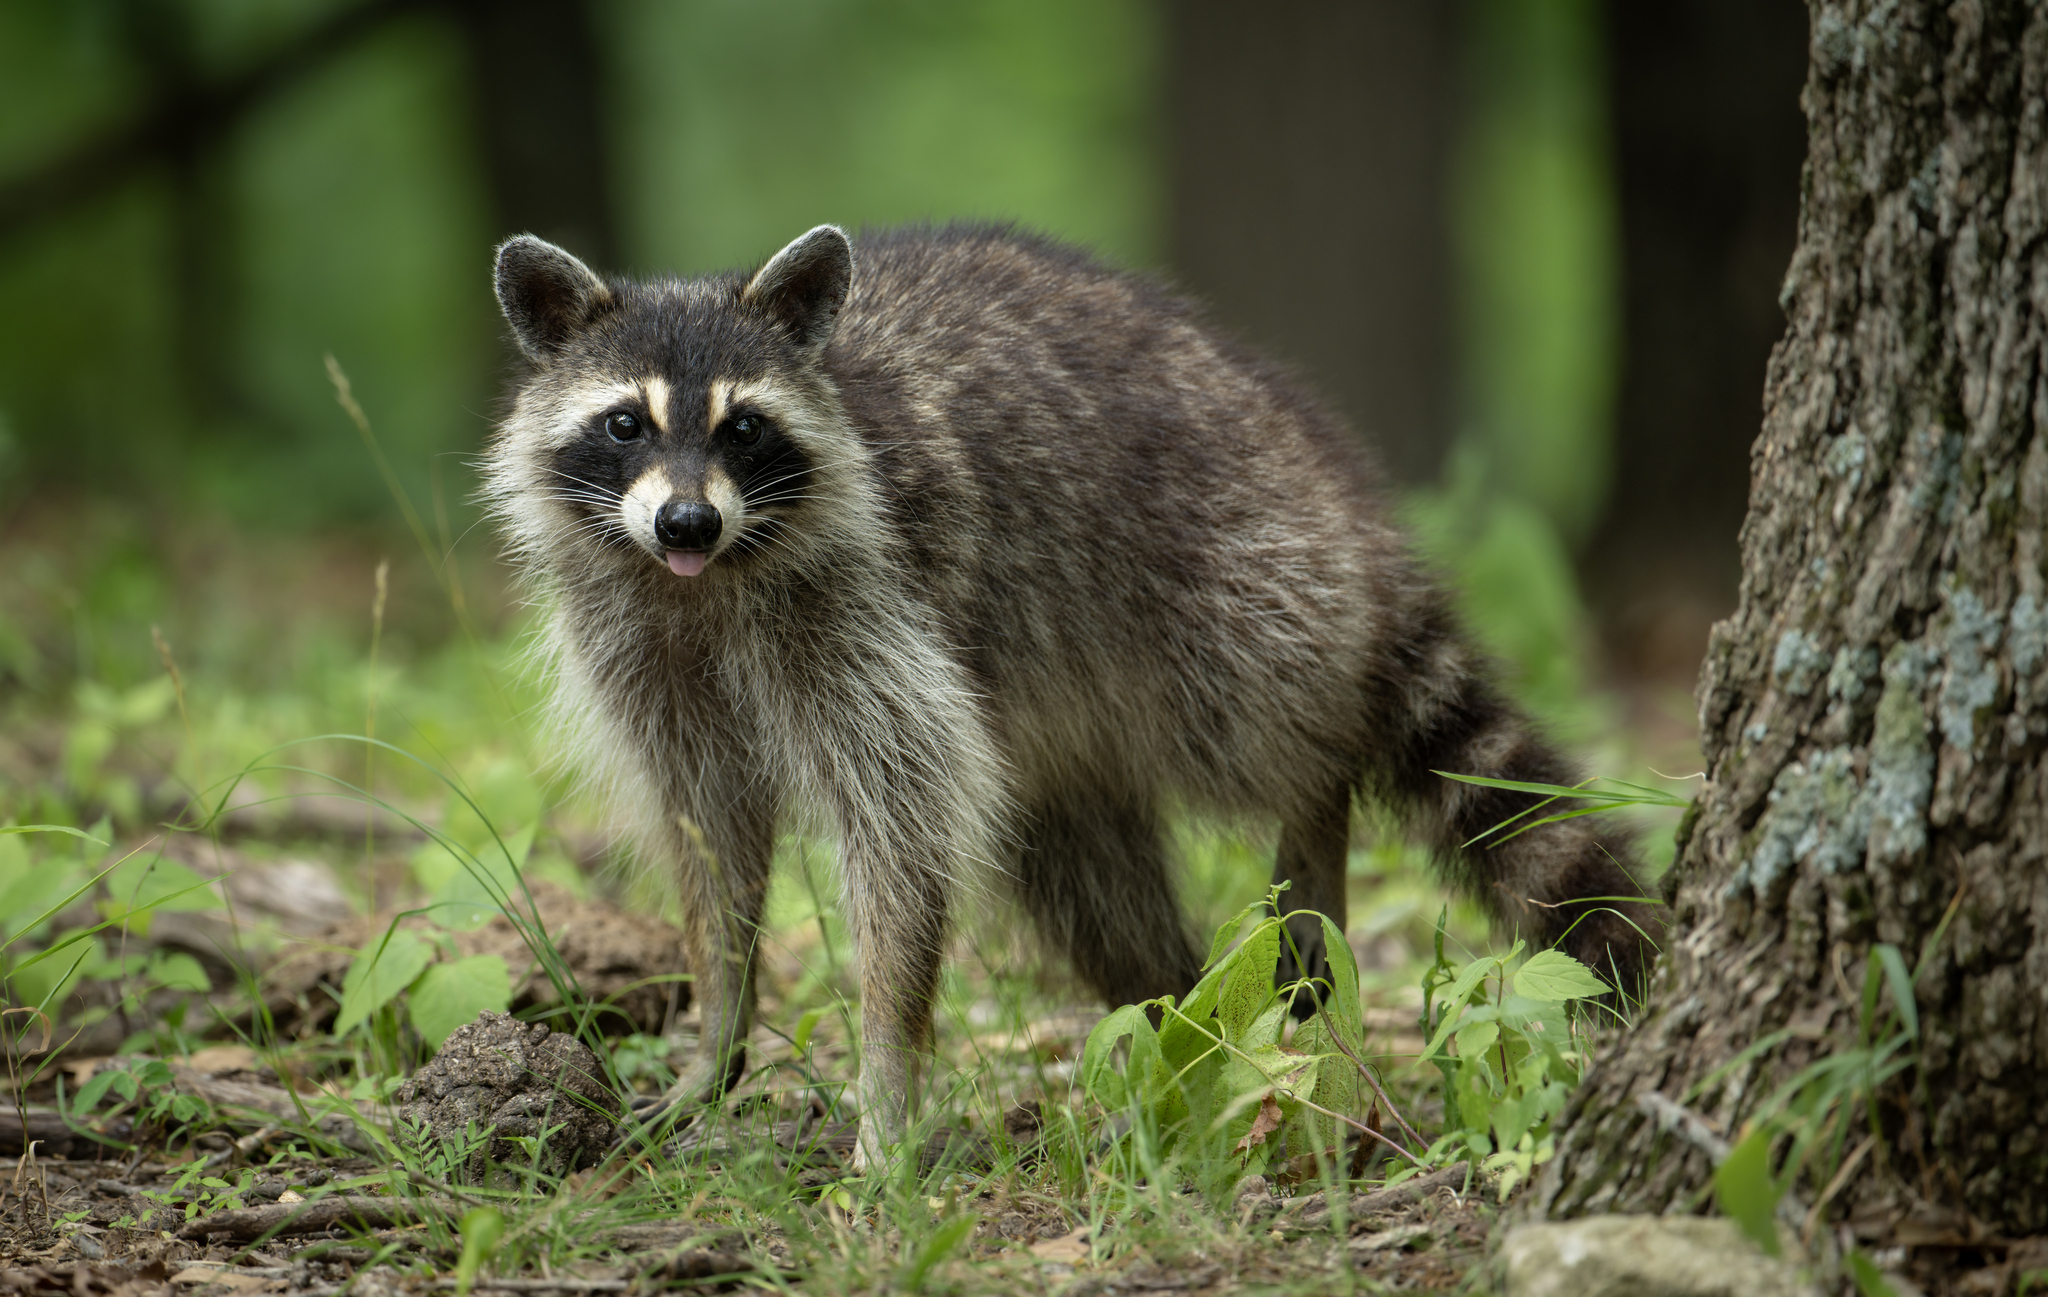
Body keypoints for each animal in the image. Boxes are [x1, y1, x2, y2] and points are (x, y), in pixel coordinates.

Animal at [483, 222, 1662, 1163]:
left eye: (742, 428)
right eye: (625, 423)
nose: (686, 520)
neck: (702, 582)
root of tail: (1335, 488)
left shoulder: (869, 608)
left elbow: (901, 834)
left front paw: (885, 1081)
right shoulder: (643, 648)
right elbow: (709, 836)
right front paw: (720, 1030)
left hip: (1239, 567)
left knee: (1260, 726)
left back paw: (1310, 805)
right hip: (1075, 750)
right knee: (1092, 895)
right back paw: (1179, 1009)